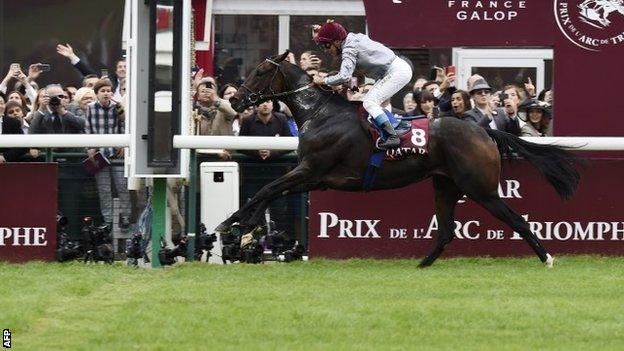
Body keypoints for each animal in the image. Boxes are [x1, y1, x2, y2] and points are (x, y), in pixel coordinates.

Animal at [217, 51, 584, 268]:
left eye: (261, 71)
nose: (235, 100)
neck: (319, 114)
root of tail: (484, 131)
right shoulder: (316, 177)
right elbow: (270, 192)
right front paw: (242, 229)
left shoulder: (311, 169)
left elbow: (265, 189)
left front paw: (230, 225)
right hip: (445, 185)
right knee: (446, 231)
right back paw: (422, 265)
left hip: (481, 188)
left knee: (517, 220)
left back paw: (547, 257)